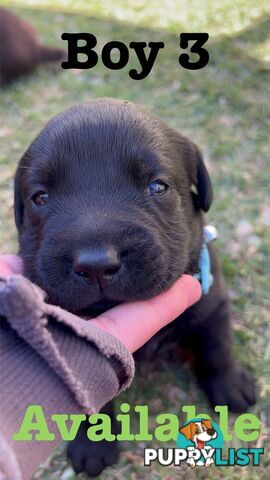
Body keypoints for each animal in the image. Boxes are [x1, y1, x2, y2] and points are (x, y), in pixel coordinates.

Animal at [14, 98, 255, 476]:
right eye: (41, 197)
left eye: (157, 187)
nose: (96, 264)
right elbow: (90, 399)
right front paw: (92, 443)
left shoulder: (211, 302)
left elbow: (218, 348)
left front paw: (230, 385)